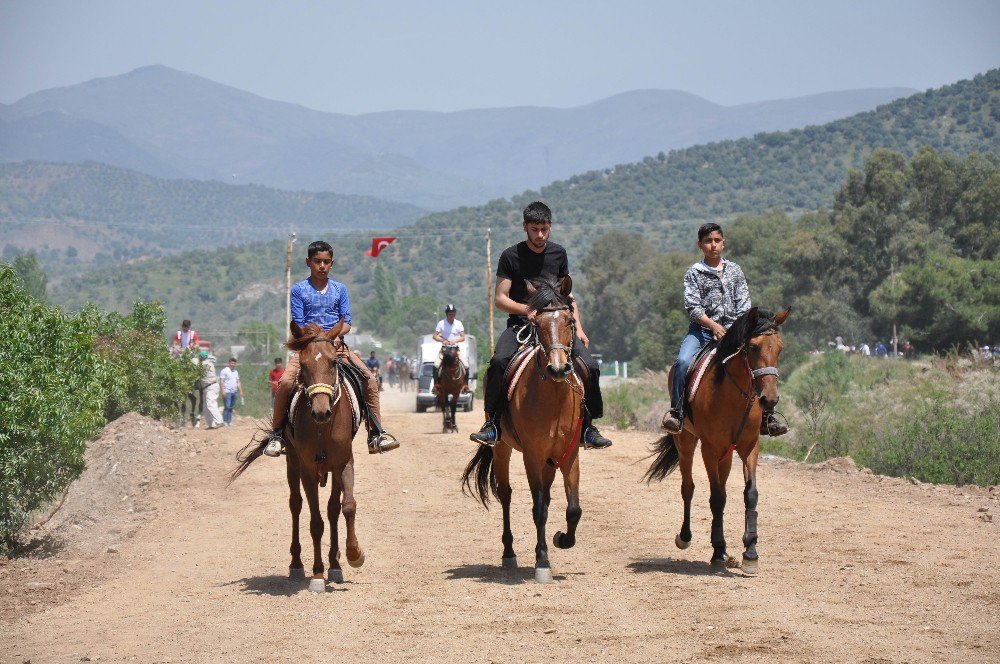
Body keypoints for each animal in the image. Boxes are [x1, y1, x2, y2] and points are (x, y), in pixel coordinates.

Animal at [229, 320, 366, 592]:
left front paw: (352, 555)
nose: (321, 411)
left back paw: (335, 564)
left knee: (332, 509)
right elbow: (315, 522)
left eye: (333, 362)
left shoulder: (344, 463)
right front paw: (317, 574)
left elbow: (346, 506)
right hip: (292, 462)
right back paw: (296, 564)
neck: (323, 426)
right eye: (303, 366)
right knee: (295, 505)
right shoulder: (307, 470)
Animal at [462, 278, 584, 584]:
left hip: (550, 460)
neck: (553, 397)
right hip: (503, 448)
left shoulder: (570, 454)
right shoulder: (532, 454)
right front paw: (542, 562)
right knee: (505, 494)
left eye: (569, 321)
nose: (558, 368)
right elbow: (538, 508)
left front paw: (562, 539)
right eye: (537, 323)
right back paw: (509, 553)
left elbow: (573, 508)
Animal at [644, 308, 792, 572]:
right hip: (687, 443)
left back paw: (723, 551)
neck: (733, 396)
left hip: (726, 454)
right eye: (753, 347)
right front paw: (718, 550)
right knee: (688, 488)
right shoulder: (709, 449)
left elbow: (750, 494)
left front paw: (750, 552)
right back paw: (686, 537)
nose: (769, 399)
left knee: (719, 486)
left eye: (780, 348)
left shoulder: (749, 447)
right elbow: (716, 499)